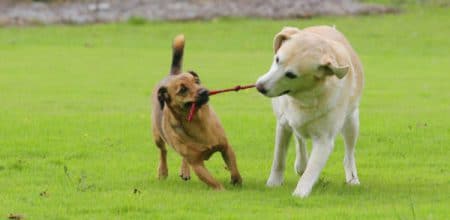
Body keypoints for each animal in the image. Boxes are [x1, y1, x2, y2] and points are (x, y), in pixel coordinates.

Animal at [151, 34, 243, 189]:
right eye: (183, 89)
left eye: (197, 81)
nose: (204, 91)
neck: (197, 121)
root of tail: (172, 74)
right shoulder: (197, 164)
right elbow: (214, 183)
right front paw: (223, 190)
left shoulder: (226, 147)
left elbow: (234, 168)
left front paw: (237, 181)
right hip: (157, 136)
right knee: (163, 151)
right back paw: (163, 171)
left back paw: (184, 170)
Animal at [255, 25, 364, 198]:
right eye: (277, 59)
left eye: (291, 75)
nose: (260, 87)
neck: (304, 98)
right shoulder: (283, 125)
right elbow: (279, 159)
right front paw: (273, 184)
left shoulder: (324, 141)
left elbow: (311, 172)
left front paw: (300, 194)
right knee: (299, 138)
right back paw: (301, 164)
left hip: (352, 123)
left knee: (349, 154)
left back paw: (352, 178)